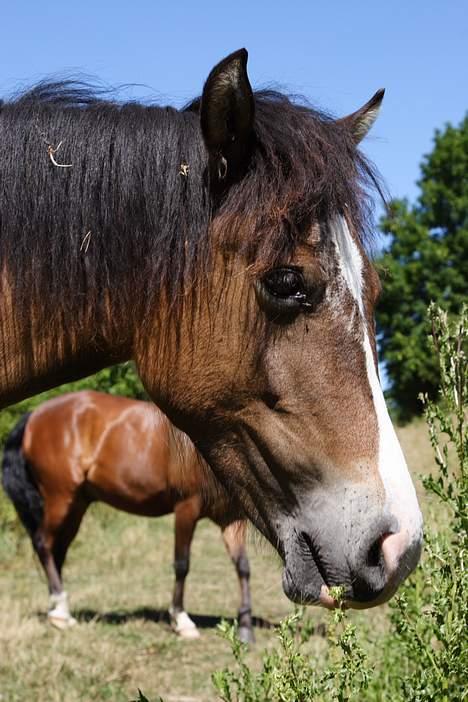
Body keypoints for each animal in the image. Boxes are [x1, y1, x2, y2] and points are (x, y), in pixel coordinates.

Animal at [1, 390, 254, 644]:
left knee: (57, 551)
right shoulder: (186, 508)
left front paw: (245, 626)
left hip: (76, 505)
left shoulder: (231, 518)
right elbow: (182, 564)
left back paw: (58, 609)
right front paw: (182, 621)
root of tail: (35, 415)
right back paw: (61, 610)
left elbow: (242, 565)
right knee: (43, 543)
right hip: (59, 497)